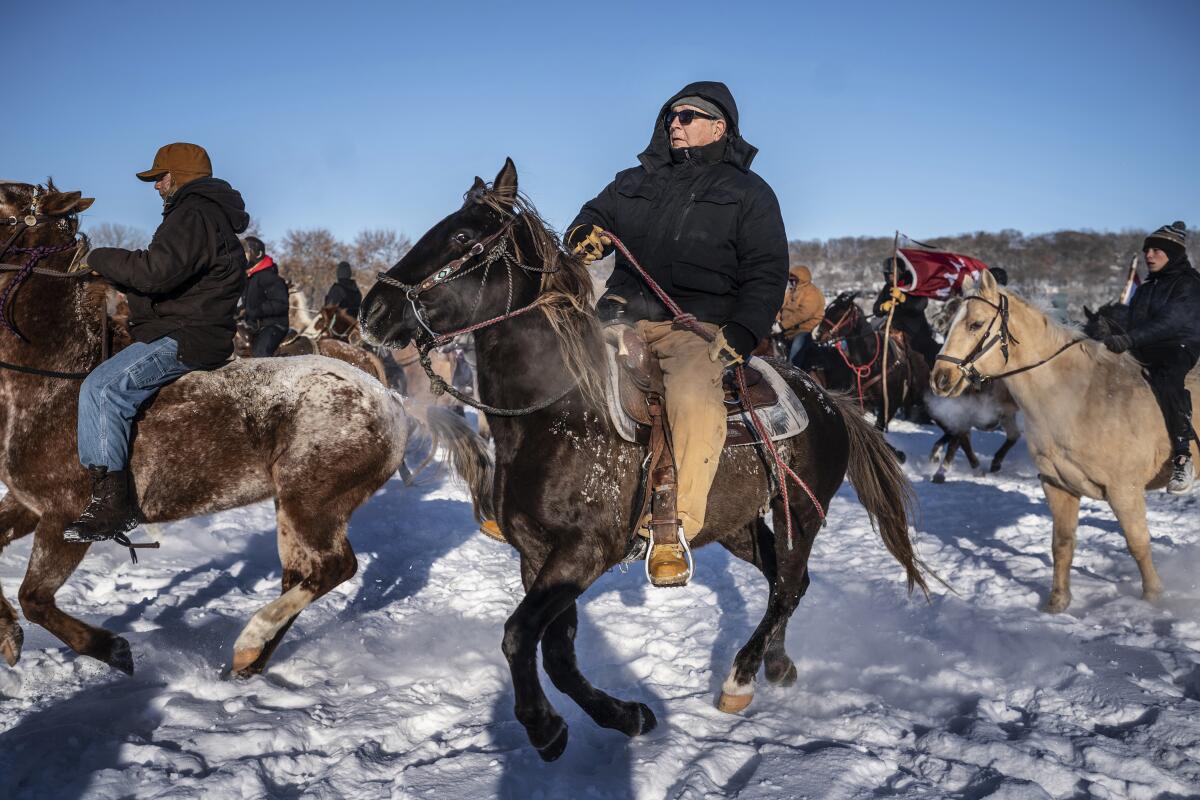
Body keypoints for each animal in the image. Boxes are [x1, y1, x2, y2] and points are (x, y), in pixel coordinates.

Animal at [0, 179, 492, 676]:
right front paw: (7, 635)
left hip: (313, 502)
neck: (56, 375)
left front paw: (111, 648)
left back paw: (250, 640)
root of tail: (389, 397)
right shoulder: (27, 504)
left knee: (333, 569)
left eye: (4, 204)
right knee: (302, 573)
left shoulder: (63, 517)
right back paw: (252, 659)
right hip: (293, 506)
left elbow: (35, 598)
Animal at [355, 158, 926, 762]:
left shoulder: (583, 553)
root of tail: (830, 402)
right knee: (784, 581)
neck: (557, 410)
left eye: (463, 237)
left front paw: (543, 726)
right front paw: (624, 715)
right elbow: (557, 652)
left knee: (789, 584)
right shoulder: (537, 556)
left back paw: (741, 677)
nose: (372, 310)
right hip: (738, 525)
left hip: (803, 509)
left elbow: (518, 635)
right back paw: (776, 663)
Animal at [931, 271, 1195, 614]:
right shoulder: (1058, 485)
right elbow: (1062, 544)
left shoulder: (1124, 490)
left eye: (975, 324)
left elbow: (1137, 542)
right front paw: (1057, 601)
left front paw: (1152, 596)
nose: (940, 378)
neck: (1077, 398)